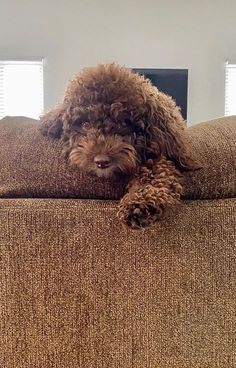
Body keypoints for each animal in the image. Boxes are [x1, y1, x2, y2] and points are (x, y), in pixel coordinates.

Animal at [40, 64, 199, 229]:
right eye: (85, 123)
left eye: (124, 123)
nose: (102, 162)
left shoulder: (156, 156)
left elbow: (156, 174)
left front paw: (139, 204)